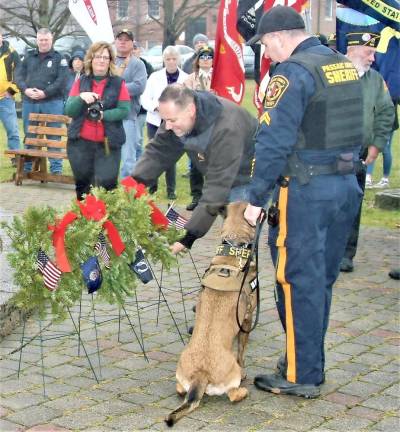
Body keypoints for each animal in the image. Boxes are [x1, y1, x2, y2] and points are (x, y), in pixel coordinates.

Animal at [165, 202, 256, 426]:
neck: (234, 244)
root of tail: (201, 374)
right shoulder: (247, 320)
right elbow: (242, 351)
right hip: (231, 377)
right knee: (233, 394)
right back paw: (243, 391)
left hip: (182, 375)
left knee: (180, 390)